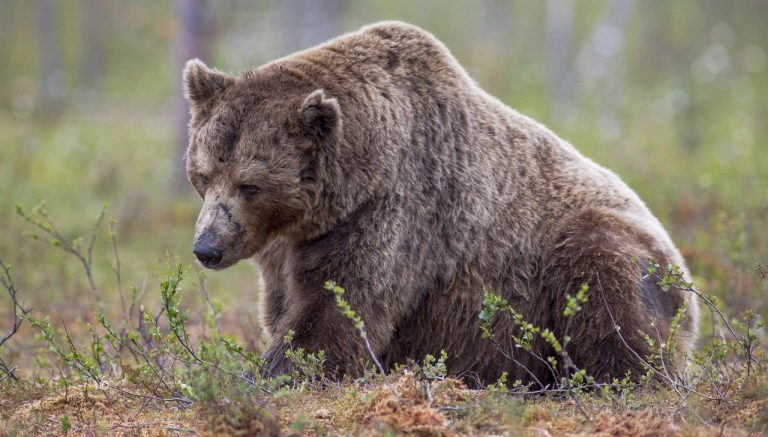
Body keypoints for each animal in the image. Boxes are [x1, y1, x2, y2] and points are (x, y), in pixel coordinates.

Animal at [184, 21, 696, 388]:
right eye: (203, 175)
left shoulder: (394, 209)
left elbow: (339, 307)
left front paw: (267, 373)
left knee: (606, 287)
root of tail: (688, 276)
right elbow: (288, 301)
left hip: (610, 256)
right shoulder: (286, 244)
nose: (207, 248)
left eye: (250, 185)